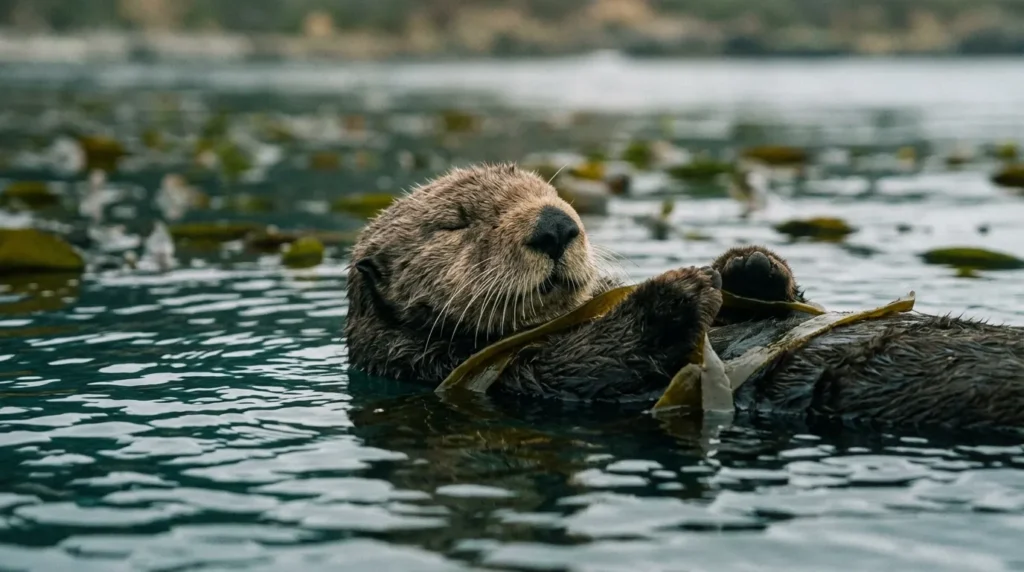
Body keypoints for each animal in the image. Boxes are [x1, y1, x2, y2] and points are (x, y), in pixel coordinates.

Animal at [345, 163, 1024, 433]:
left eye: (557, 196)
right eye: (456, 223)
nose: (556, 225)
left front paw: (750, 266)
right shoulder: (504, 372)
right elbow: (595, 360)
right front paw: (677, 292)